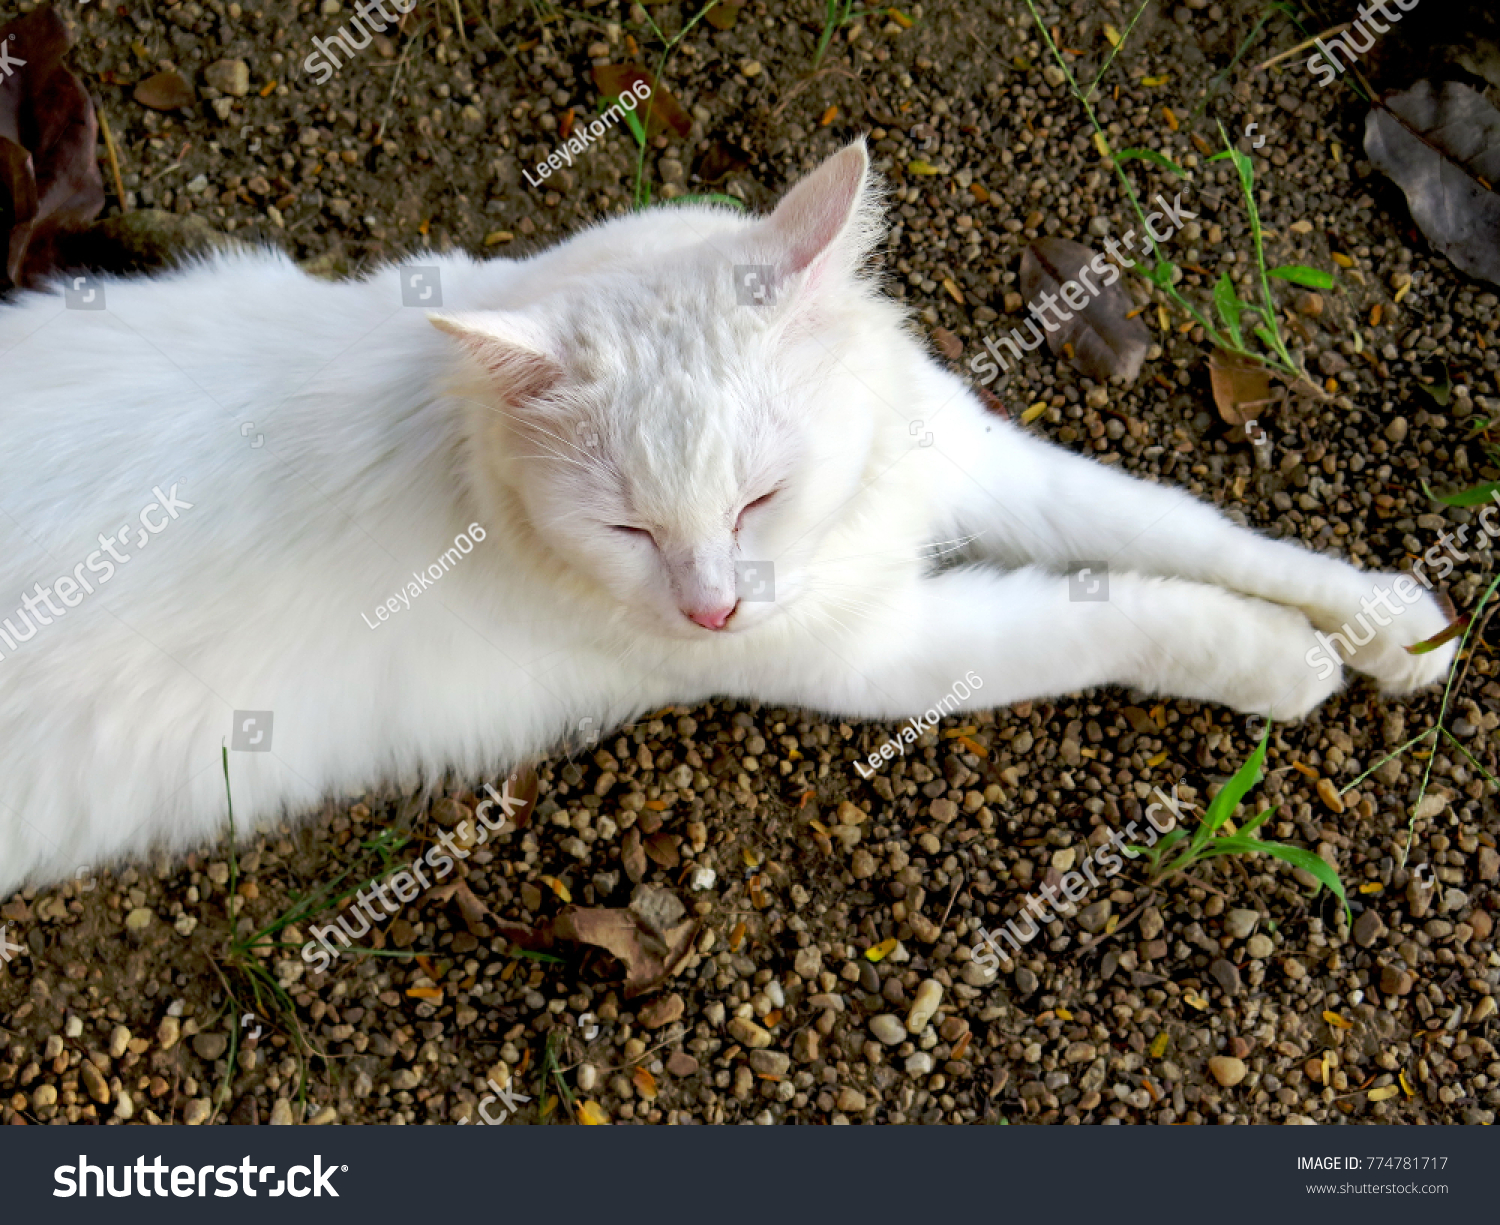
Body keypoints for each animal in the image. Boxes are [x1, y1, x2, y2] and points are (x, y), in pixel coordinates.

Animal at [0, 140, 1452, 899]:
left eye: (760, 494)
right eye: (627, 531)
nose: (712, 607)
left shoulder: (970, 456)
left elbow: (1190, 528)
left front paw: (1392, 623)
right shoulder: (884, 656)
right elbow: (1120, 617)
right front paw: (1279, 664)